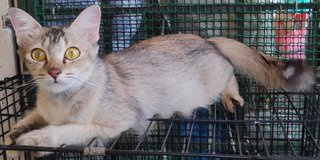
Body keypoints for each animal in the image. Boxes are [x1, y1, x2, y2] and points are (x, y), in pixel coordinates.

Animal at [5, 5, 316, 158]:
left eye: (72, 53)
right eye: (38, 54)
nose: (55, 72)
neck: (59, 102)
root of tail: (207, 39)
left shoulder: (119, 121)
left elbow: (70, 130)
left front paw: (34, 138)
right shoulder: (44, 108)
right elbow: (32, 114)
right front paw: (17, 129)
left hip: (218, 78)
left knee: (231, 78)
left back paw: (232, 99)